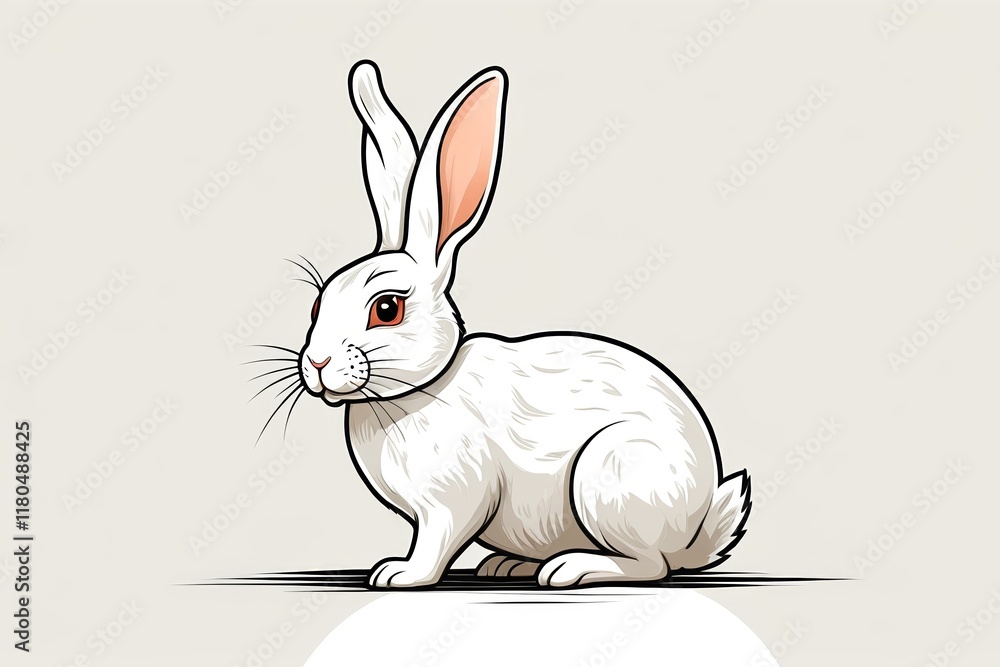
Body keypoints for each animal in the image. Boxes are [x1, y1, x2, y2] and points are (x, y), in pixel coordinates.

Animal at [295, 61, 750, 588]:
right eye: (315, 306)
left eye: (386, 309)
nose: (317, 362)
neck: (422, 390)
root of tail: (693, 530)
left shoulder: (451, 502)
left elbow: (435, 543)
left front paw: (398, 574)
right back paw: (508, 566)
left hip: (611, 476)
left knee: (651, 566)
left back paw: (570, 569)